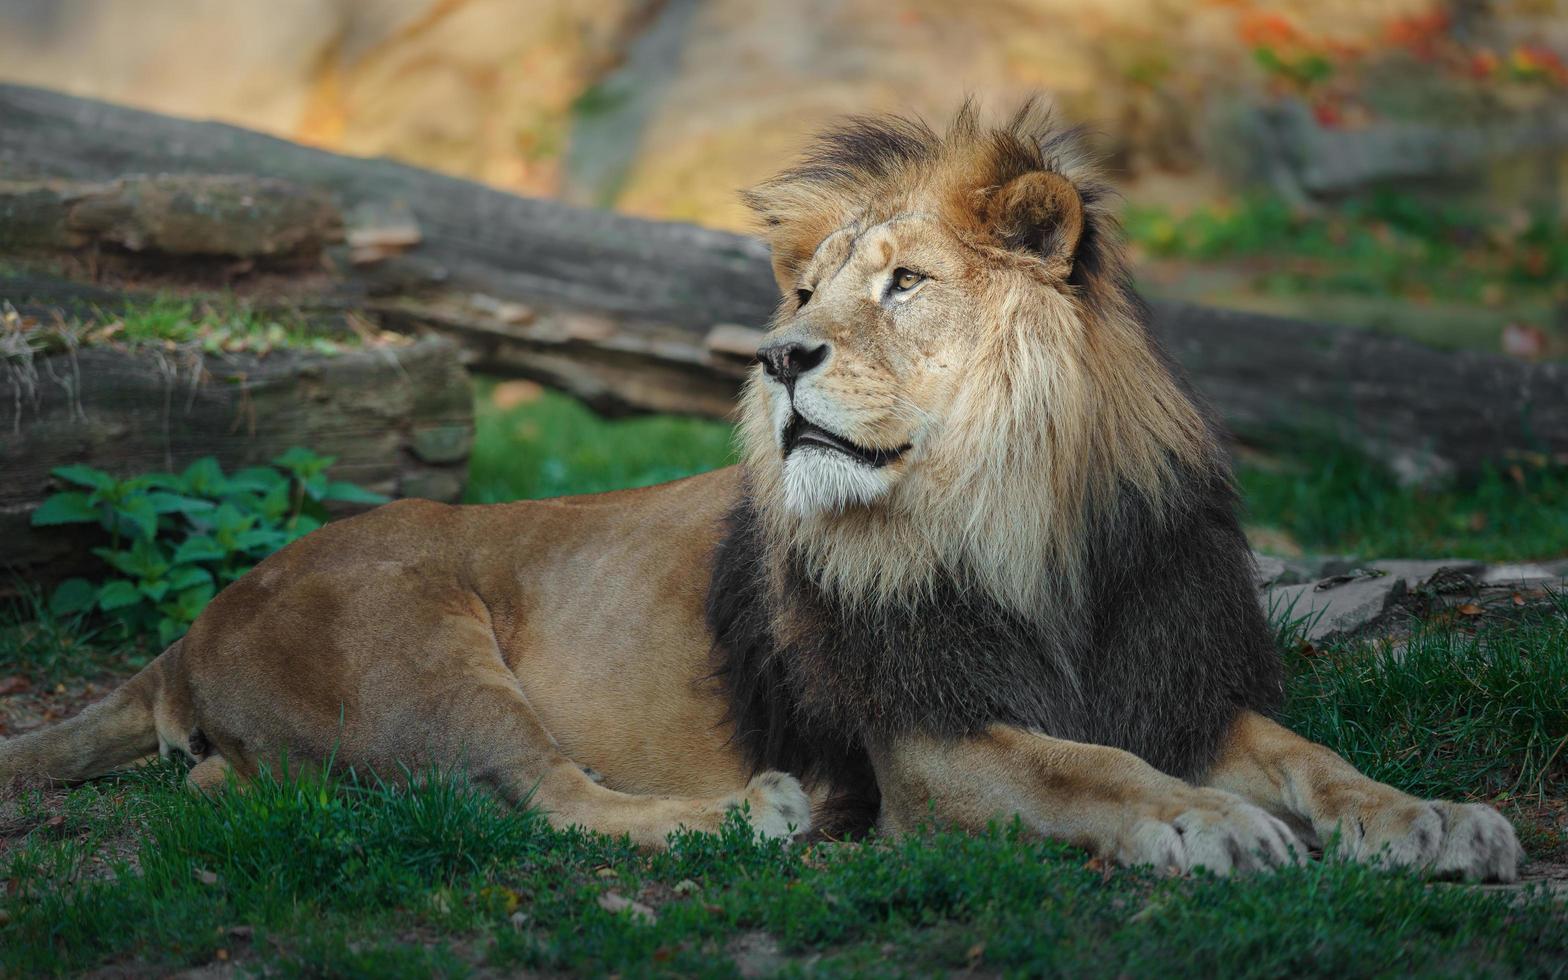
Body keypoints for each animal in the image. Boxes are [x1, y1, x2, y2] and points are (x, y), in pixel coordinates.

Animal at [0, 105, 1517, 878]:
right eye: (805, 295)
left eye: (903, 283)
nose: (782, 355)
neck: (1014, 519)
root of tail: (192, 631)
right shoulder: (930, 738)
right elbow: (1084, 767)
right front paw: (1206, 822)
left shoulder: (1175, 682)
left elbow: (1314, 758)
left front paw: (1431, 818)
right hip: (419, 646)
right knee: (543, 797)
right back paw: (750, 814)